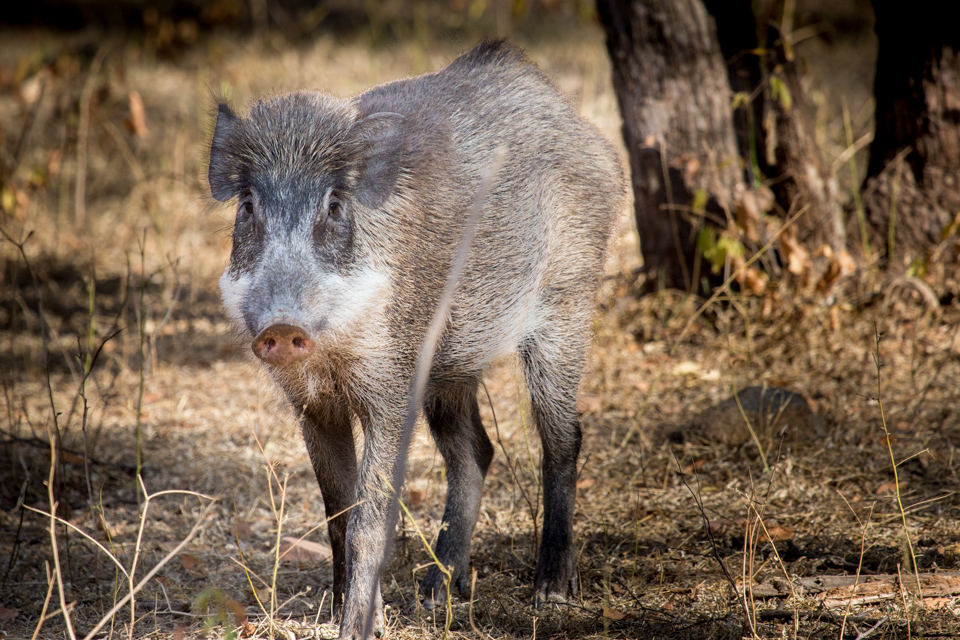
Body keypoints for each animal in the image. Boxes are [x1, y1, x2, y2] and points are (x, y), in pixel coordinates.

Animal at [208, 40, 625, 639]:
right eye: (247, 207)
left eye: (334, 205)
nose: (282, 328)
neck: (335, 358)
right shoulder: (313, 405)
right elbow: (337, 513)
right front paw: (354, 615)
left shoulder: (392, 390)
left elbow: (370, 519)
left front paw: (356, 628)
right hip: (452, 368)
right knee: (476, 451)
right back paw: (437, 594)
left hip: (567, 307)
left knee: (564, 439)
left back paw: (550, 594)